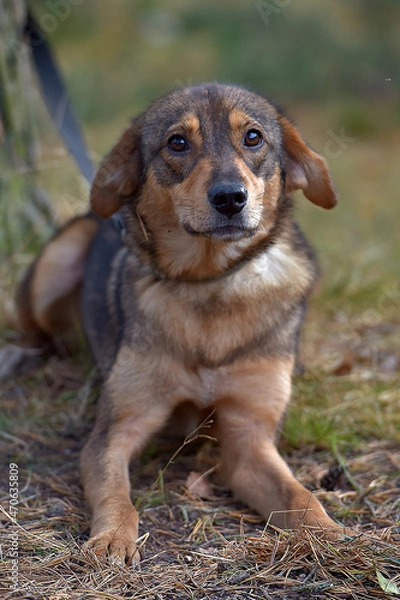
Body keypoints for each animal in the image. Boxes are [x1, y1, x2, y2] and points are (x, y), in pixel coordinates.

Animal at [18, 83, 340, 564]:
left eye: (254, 137)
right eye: (177, 142)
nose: (230, 198)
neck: (209, 285)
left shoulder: (248, 438)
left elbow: (299, 494)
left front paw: (332, 535)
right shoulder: (118, 428)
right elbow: (117, 493)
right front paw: (113, 537)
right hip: (56, 262)